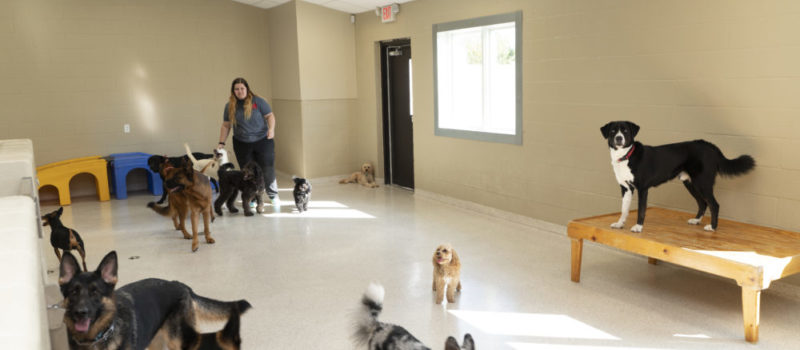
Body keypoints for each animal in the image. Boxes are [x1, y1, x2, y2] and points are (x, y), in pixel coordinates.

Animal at [600, 120, 756, 232]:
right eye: (613, 131)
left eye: (625, 131)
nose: (618, 138)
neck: (626, 155)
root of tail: (708, 145)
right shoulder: (626, 188)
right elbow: (624, 209)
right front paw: (620, 224)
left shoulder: (643, 189)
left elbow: (641, 210)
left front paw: (638, 227)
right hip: (691, 184)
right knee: (703, 203)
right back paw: (696, 220)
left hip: (703, 183)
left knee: (714, 204)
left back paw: (712, 227)